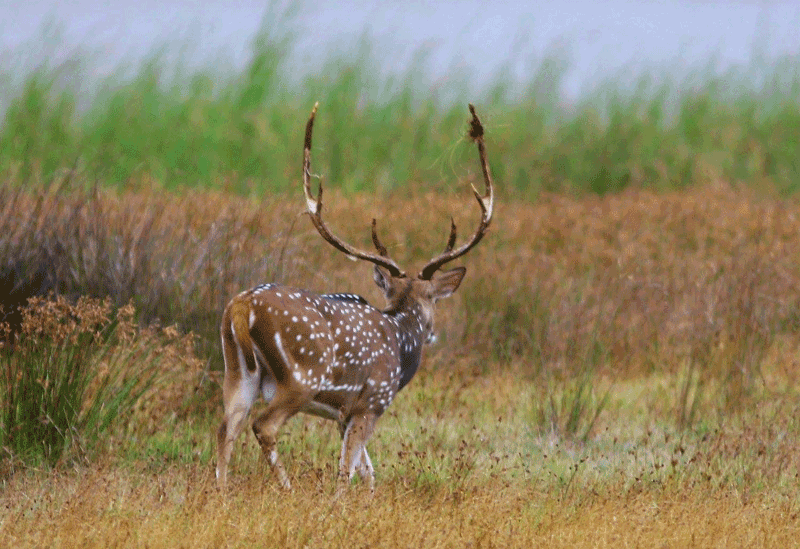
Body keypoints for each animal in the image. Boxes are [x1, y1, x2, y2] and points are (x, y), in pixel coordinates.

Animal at [214, 103, 494, 492]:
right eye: (433, 299)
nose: (434, 334)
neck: (401, 342)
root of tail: (241, 308)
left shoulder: (343, 414)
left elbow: (367, 470)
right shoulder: (371, 401)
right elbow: (348, 469)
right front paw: (339, 501)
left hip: (237, 371)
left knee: (227, 427)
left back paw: (221, 493)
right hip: (300, 378)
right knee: (262, 426)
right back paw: (288, 488)